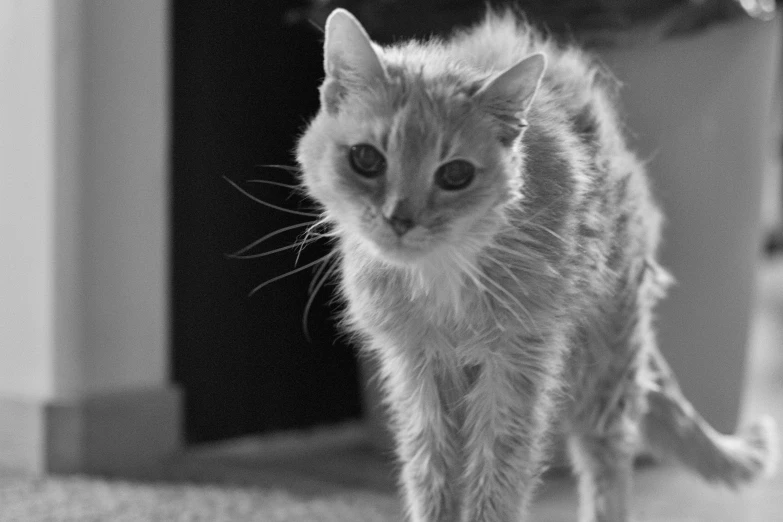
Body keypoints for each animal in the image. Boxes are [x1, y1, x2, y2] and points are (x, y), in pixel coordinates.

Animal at [292, 8, 776, 520]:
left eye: (455, 174)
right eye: (366, 159)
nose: (400, 219)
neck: (442, 273)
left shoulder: (517, 363)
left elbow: (498, 473)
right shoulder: (416, 369)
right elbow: (430, 471)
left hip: (605, 357)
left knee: (608, 454)